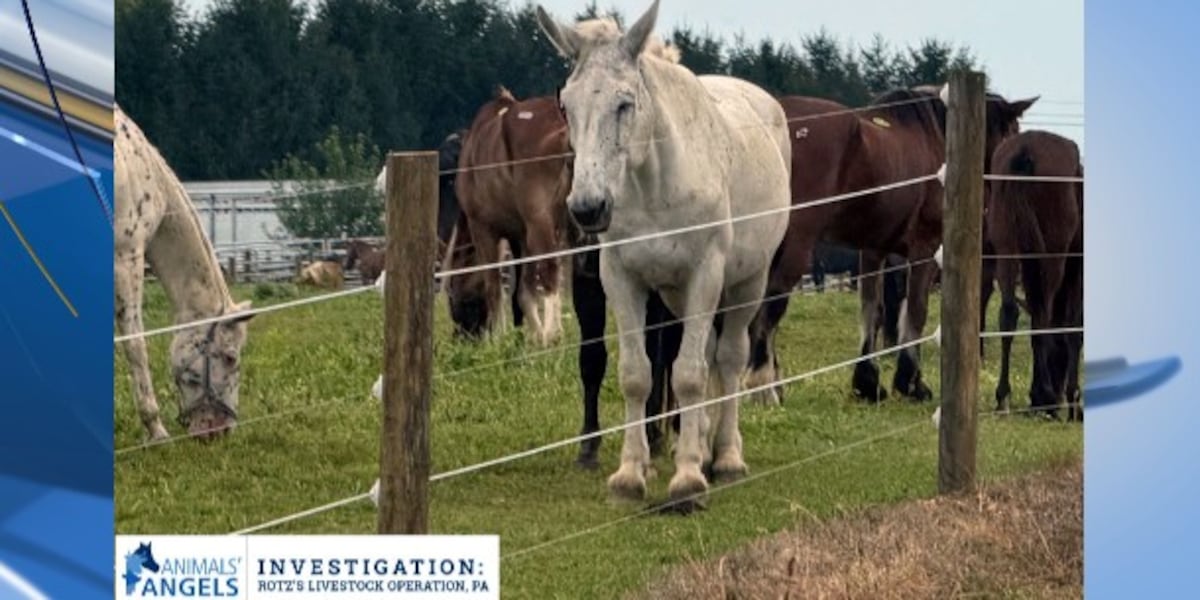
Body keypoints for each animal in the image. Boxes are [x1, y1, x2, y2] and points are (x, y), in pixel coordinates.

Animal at [446, 86, 572, 347]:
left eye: (453, 299)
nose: (462, 337)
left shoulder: (483, 229)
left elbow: (494, 285)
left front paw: (499, 338)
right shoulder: (521, 235)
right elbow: (524, 289)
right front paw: (531, 334)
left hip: (540, 222)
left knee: (550, 269)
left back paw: (552, 332)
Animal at [537, 1, 792, 506]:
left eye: (624, 103)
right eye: (565, 105)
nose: (588, 208)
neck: (653, 185)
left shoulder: (704, 275)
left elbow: (689, 374)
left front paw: (688, 478)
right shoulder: (622, 279)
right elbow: (639, 373)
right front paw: (630, 474)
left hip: (745, 284)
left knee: (728, 358)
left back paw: (725, 456)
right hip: (677, 296)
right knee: (707, 353)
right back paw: (702, 445)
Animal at [745, 88, 1036, 404]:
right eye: (1013, 131)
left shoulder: (875, 250)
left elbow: (874, 310)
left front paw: (868, 383)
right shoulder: (925, 249)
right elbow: (916, 312)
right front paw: (910, 383)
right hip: (796, 245)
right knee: (771, 303)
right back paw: (762, 386)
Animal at [984, 130, 1083, 421]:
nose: (1061, 390)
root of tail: (1026, 150)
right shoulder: (1075, 268)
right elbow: (1072, 327)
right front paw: (1072, 400)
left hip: (1007, 246)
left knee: (1009, 313)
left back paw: (1004, 396)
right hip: (1052, 256)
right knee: (1042, 318)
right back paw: (1045, 397)